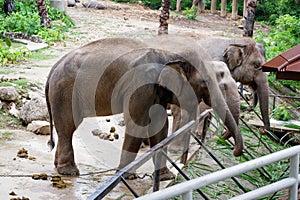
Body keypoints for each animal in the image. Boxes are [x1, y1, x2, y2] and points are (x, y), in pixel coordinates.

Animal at [45, 36, 245, 180]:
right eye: (205, 82)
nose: (236, 152)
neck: (171, 54)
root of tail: (53, 67)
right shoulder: (141, 85)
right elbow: (137, 124)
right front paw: (128, 176)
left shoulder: (157, 91)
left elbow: (160, 127)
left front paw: (165, 177)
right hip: (65, 91)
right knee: (68, 126)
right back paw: (69, 172)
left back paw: (59, 167)